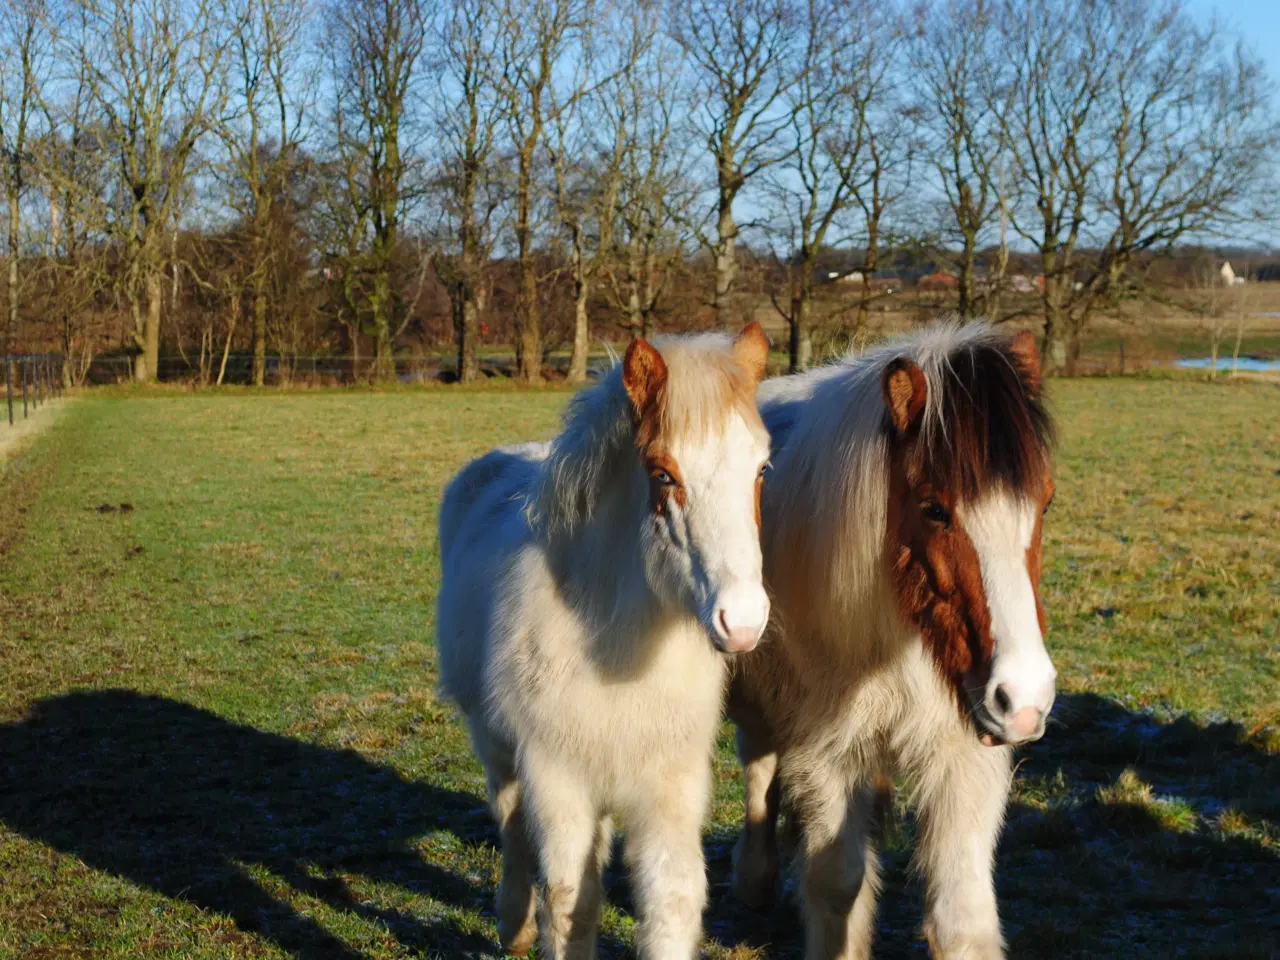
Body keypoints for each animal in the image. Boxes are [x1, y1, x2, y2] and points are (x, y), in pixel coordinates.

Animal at [435, 325, 773, 960]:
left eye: (762, 469)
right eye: (662, 473)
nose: (742, 623)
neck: (620, 652)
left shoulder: (669, 785)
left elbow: (671, 901)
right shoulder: (557, 778)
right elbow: (570, 899)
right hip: (497, 744)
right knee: (511, 823)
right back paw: (512, 924)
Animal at [727, 325, 1054, 960]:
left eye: (1046, 501)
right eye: (933, 509)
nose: (1025, 700)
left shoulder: (963, 757)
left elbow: (962, 915)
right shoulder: (826, 755)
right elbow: (837, 888)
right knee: (759, 763)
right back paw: (753, 880)